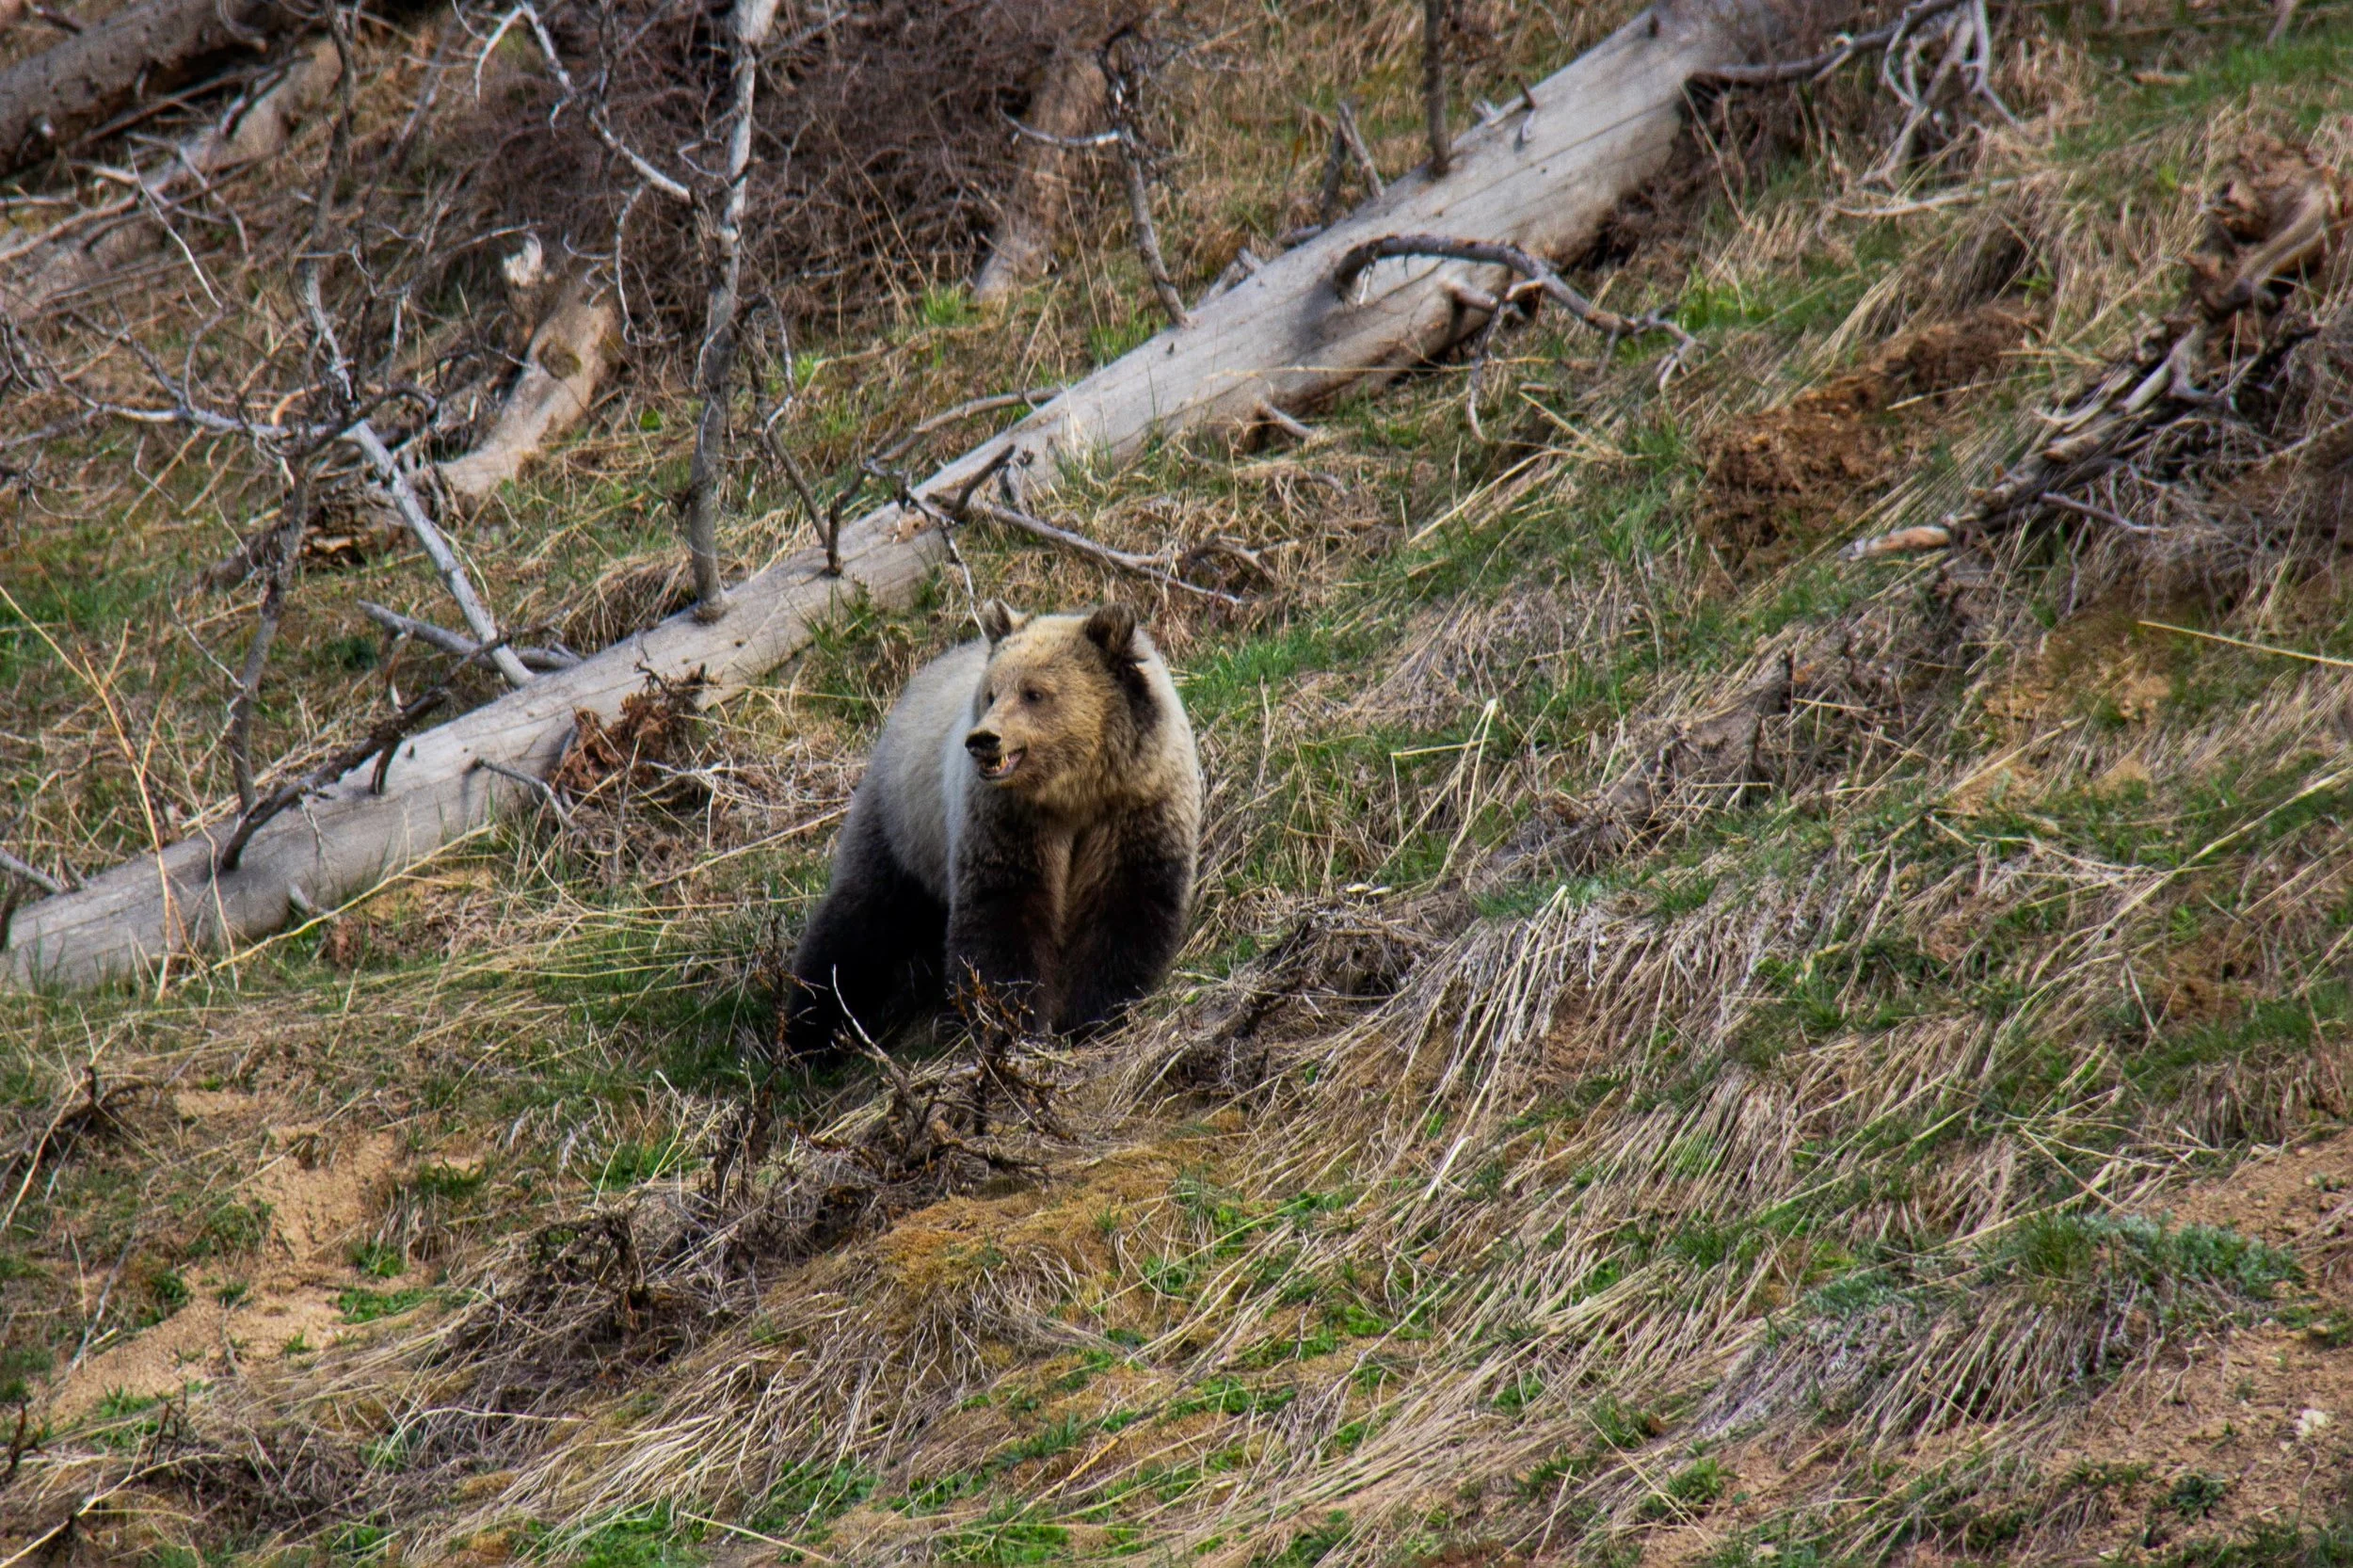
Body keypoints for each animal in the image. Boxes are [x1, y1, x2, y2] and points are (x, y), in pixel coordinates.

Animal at [782, 600, 1202, 1054]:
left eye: (1034, 692)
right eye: (992, 693)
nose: (984, 739)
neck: (1074, 792)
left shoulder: (1136, 807)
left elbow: (1124, 908)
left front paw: (1090, 1016)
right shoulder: (1007, 819)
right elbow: (1004, 912)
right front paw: (1010, 1021)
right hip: (905, 823)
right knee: (861, 921)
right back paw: (810, 1030)